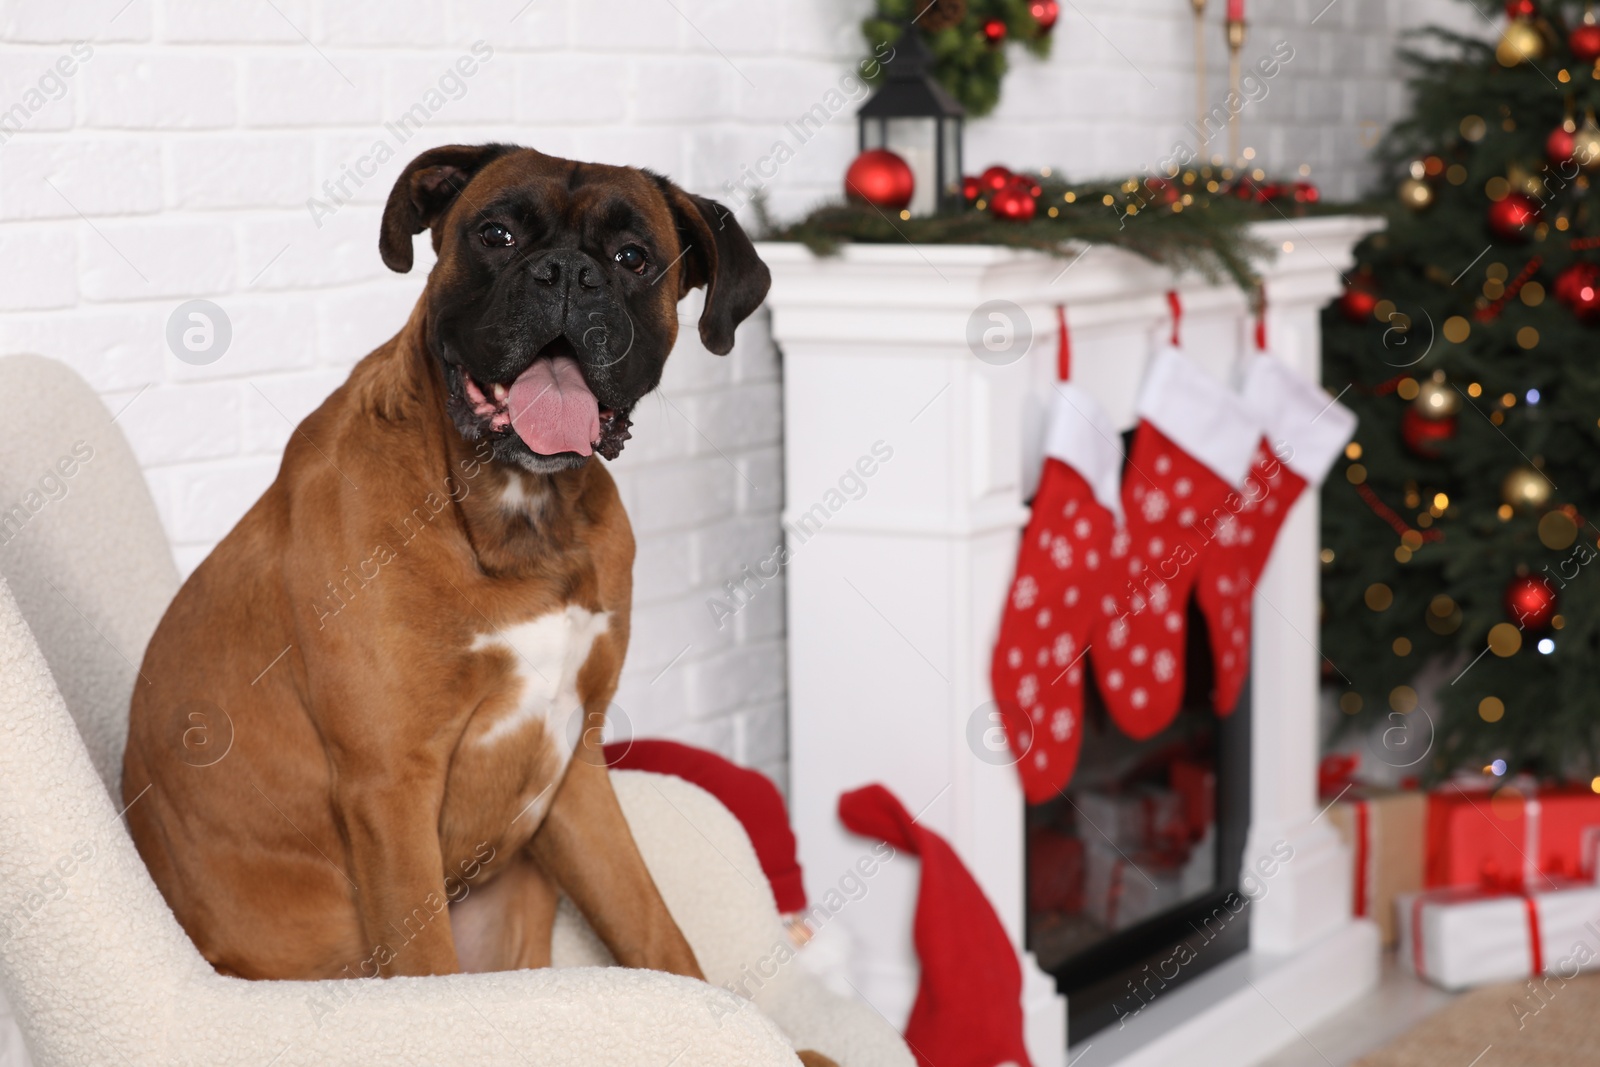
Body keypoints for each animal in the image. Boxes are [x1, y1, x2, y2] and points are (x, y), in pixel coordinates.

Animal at [121, 147, 825, 1062]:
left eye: (632, 257)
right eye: (495, 235)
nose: (567, 274)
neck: (517, 511)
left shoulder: (577, 771)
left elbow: (658, 933)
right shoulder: (391, 789)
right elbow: (426, 968)